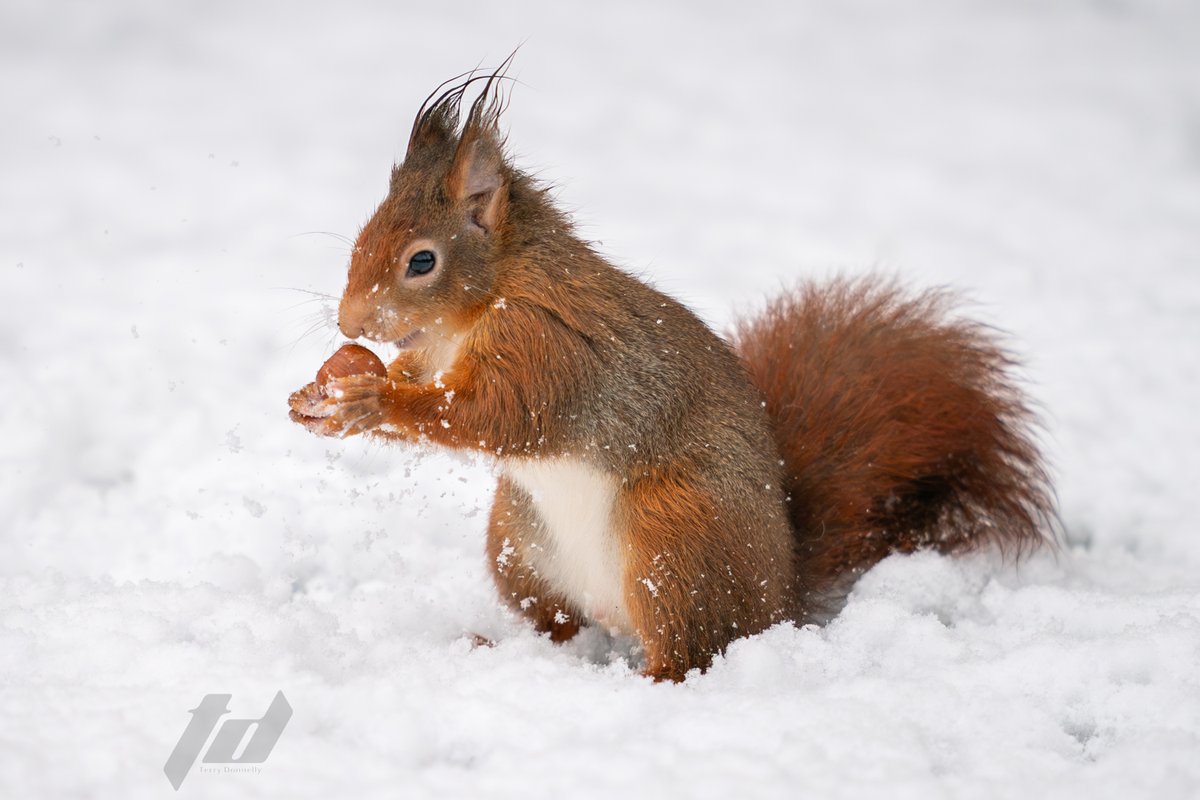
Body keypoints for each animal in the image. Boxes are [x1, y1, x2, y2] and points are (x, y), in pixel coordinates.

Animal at [289, 64, 1056, 682]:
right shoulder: (441, 354)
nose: (350, 325)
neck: (489, 299)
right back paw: (502, 649)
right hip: (517, 544)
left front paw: (369, 400)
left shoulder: (548, 348)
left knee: (690, 650)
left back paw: (644, 680)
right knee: (564, 627)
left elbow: (497, 416)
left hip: (673, 538)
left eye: (422, 261)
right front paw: (320, 393)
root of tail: (779, 596)